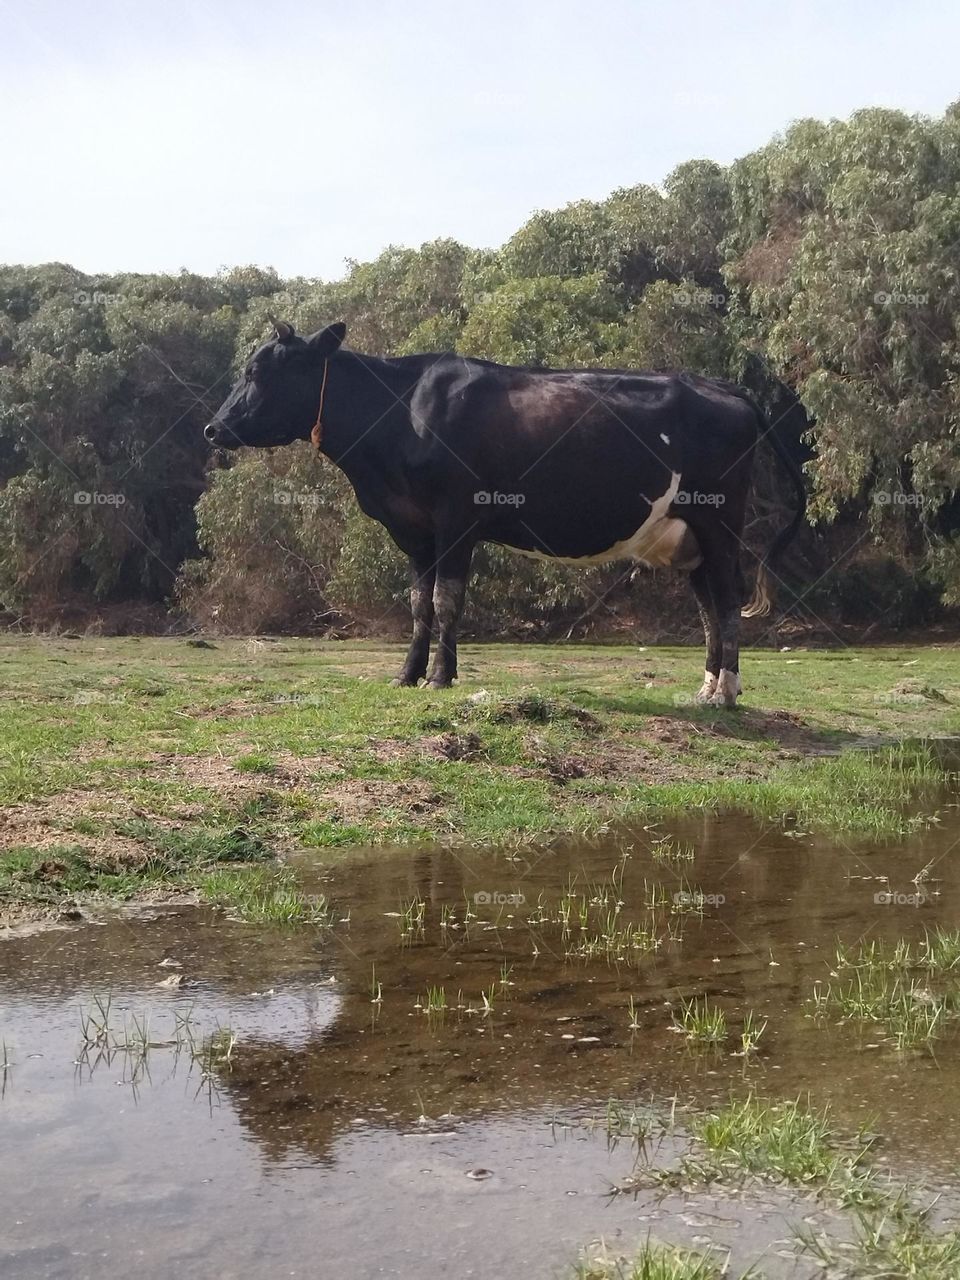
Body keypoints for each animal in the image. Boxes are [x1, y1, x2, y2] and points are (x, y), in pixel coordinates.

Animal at [204, 322, 806, 705]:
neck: (400, 414)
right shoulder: (413, 530)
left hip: (720, 523)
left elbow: (446, 603)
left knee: (725, 602)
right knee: (707, 607)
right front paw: (406, 676)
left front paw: (439, 679)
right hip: (688, 537)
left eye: (258, 371)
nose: (213, 428)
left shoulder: (456, 521)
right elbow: (418, 605)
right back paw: (705, 688)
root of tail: (720, 386)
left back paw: (726, 693)